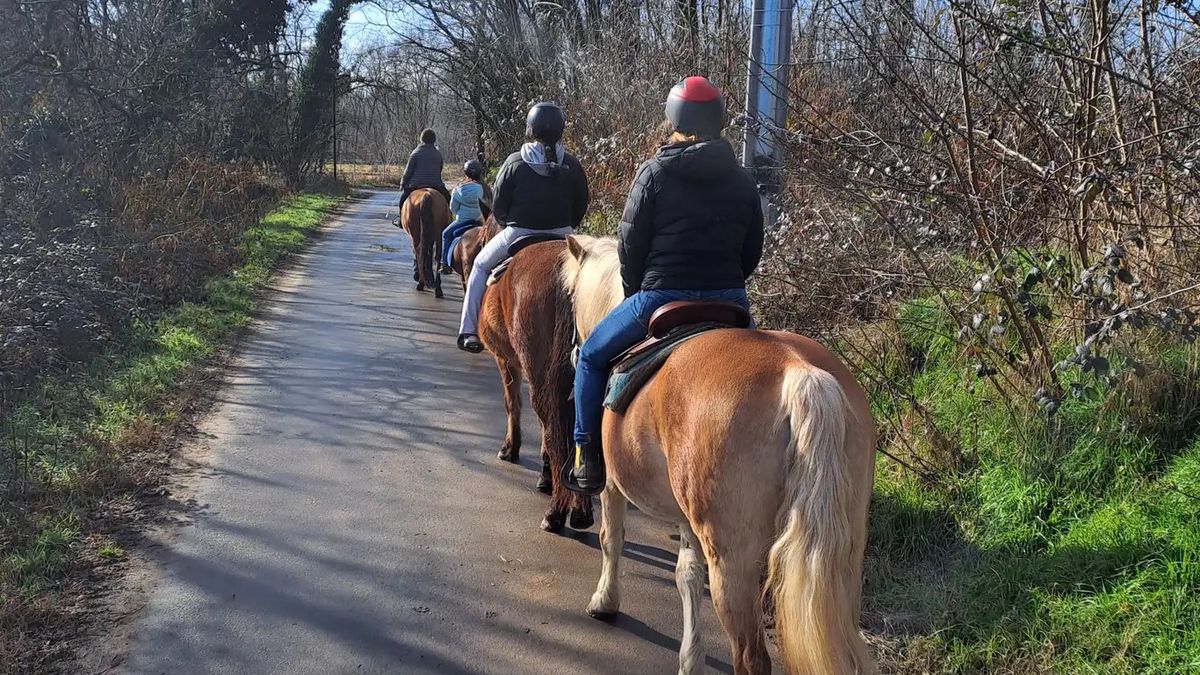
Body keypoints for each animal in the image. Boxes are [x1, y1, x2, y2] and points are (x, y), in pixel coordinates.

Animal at [475, 218, 594, 533]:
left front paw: (510, 448)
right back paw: (580, 511)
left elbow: (512, 405)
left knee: (550, 424)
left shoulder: (507, 361)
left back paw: (556, 513)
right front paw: (546, 475)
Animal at [559, 234, 879, 675]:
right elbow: (687, 577)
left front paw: (604, 602)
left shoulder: (612, 486)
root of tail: (800, 373)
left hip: (733, 559)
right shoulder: (688, 522)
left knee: (750, 656)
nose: (574, 353)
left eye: (571, 296)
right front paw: (689, 660)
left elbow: (613, 539)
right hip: (843, 558)